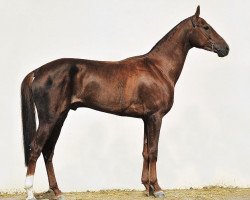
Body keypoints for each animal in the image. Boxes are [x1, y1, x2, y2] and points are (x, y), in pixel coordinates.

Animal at [21, 5, 229, 199]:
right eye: (206, 27)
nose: (225, 48)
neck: (158, 68)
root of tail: (37, 71)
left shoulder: (146, 118)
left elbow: (145, 151)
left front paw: (147, 187)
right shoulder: (156, 117)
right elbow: (154, 151)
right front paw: (157, 188)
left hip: (60, 117)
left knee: (48, 151)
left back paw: (57, 191)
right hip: (49, 119)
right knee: (36, 149)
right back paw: (30, 192)